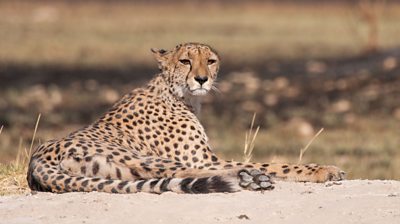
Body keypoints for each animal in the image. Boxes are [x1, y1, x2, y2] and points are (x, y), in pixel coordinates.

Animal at [26, 43, 346, 193]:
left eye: (211, 61)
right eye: (185, 61)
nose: (202, 79)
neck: (178, 93)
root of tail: (37, 157)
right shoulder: (204, 159)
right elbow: (274, 163)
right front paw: (323, 170)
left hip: (114, 171)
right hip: (144, 158)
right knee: (185, 171)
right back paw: (249, 178)